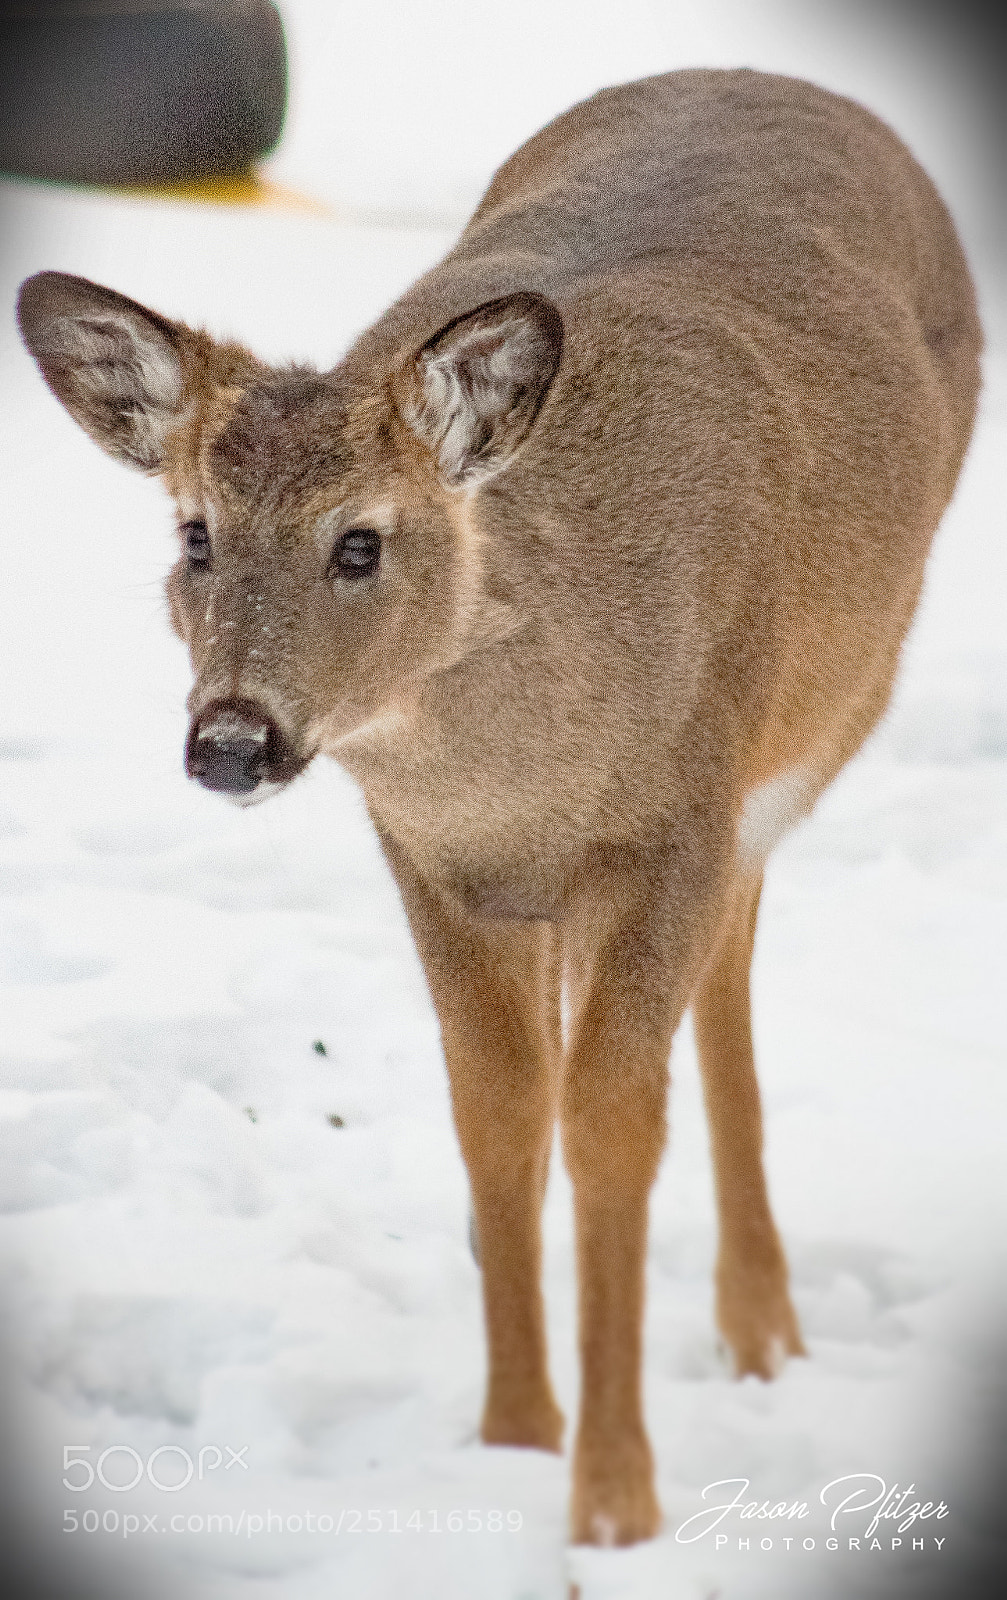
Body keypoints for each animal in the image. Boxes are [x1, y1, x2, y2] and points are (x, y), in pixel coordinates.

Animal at [17, 67, 980, 1549]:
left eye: (359, 541)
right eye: (192, 534)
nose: (231, 742)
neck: (529, 767)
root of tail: (784, 82)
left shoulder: (674, 824)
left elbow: (612, 1126)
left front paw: (613, 1503)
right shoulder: (434, 859)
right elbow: (498, 1112)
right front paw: (515, 1438)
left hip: (825, 717)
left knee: (732, 964)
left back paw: (761, 1328)